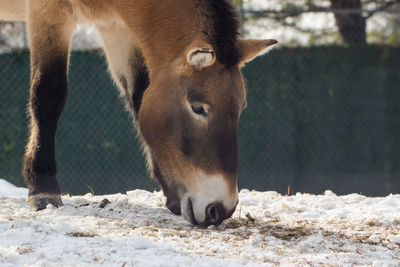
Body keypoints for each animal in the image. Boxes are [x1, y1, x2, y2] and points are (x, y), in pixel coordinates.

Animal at [0, 0, 276, 227]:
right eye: (198, 108)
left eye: (240, 108)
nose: (220, 209)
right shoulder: (49, 12)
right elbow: (49, 94)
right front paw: (43, 188)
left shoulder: (116, 28)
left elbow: (138, 94)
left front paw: (172, 195)